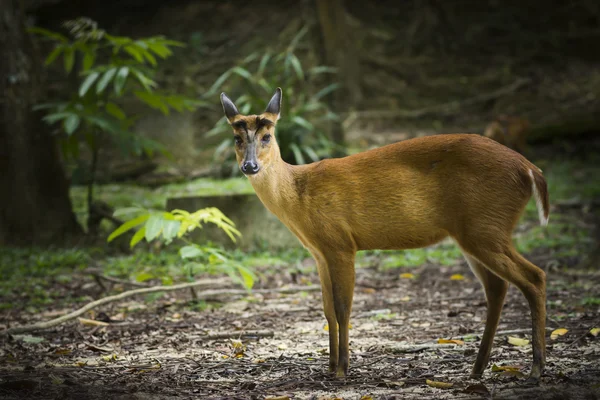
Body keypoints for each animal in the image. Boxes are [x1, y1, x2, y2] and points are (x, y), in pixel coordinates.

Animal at [219, 88, 548, 384]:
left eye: (267, 136)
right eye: (237, 138)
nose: (250, 166)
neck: (299, 195)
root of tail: (531, 169)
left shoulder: (341, 243)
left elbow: (342, 308)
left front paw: (342, 370)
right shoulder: (319, 252)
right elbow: (327, 310)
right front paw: (330, 367)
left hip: (485, 226)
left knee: (534, 277)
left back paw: (535, 369)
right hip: (475, 232)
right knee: (497, 287)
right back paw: (478, 369)